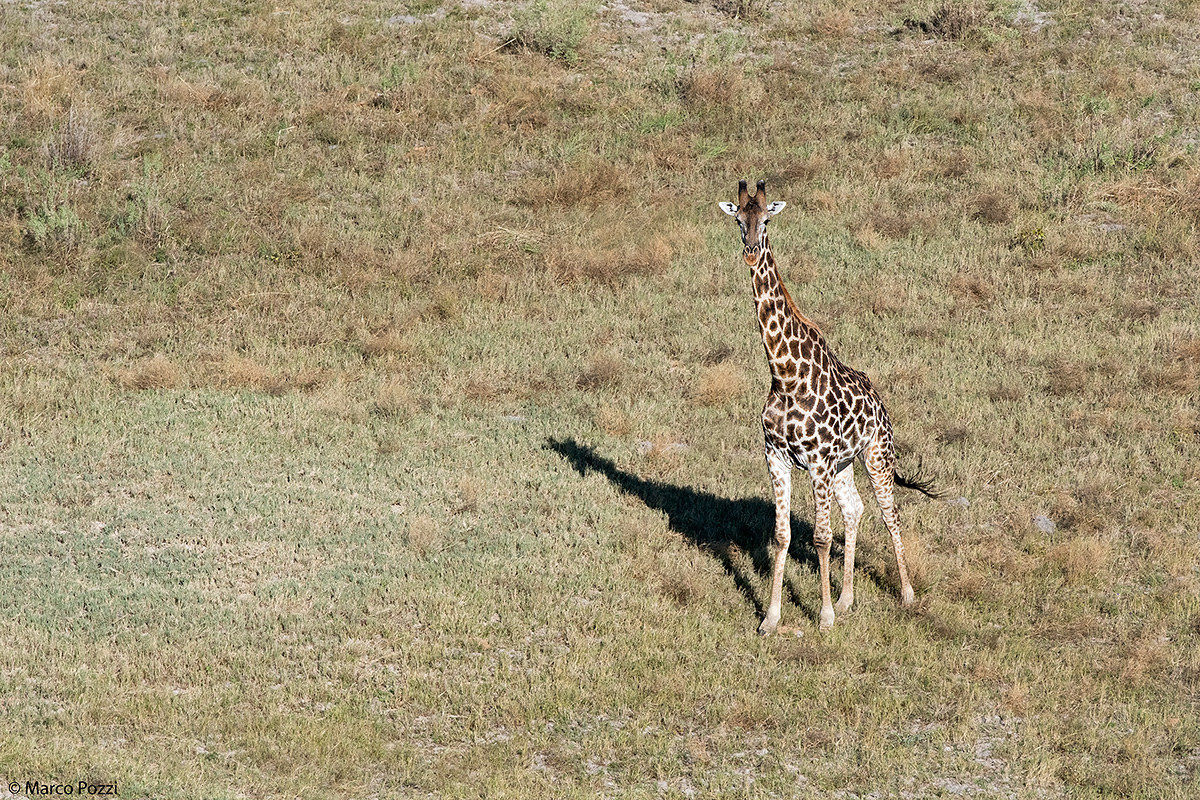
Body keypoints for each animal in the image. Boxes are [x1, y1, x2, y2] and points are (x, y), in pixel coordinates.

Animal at [718, 179, 941, 633]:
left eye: (766, 221)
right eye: (739, 220)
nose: (749, 252)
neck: (785, 374)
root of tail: (881, 402)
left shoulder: (817, 461)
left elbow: (821, 537)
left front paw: (822, 618)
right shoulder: (777, 457)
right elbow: (783, 536)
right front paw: (771, 619)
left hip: (876, 456)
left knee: (890, 515)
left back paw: (906, 594)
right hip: (845, 465)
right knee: (854, 510)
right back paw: (847, 598)